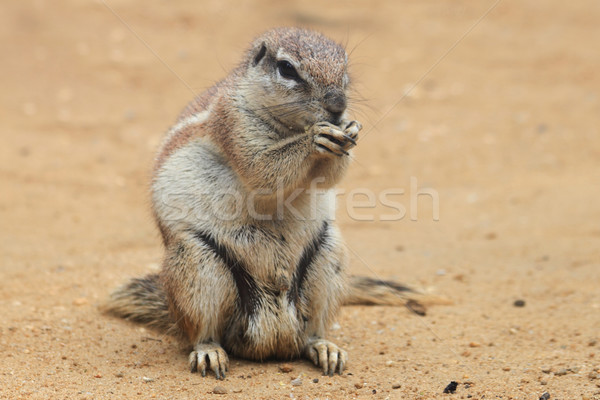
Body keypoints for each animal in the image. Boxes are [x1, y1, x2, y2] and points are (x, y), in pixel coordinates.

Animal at [106, 27, 426, 378]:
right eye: (287, 69)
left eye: (345, 71)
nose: (338, 105)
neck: (290, 127)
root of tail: (272, 335)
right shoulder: (233, 123)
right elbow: (261, 169)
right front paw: (315, 139)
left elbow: (327, 177)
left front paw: (349, 129)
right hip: (197, 265)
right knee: (203, 332)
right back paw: (209, 352)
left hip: (327, 256)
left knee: (311, 330)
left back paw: (324, 348)